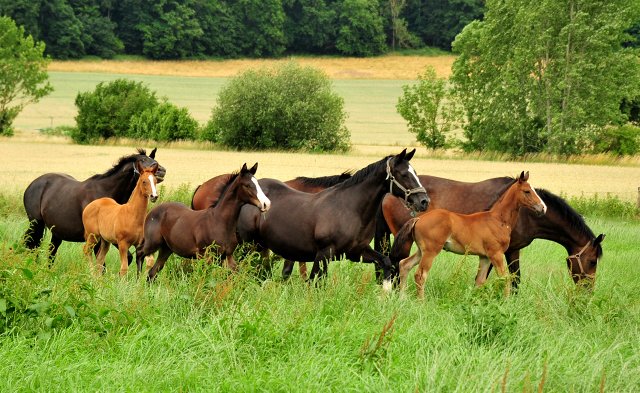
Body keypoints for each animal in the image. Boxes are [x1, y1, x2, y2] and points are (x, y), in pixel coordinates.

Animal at [23, 149, 165, 262]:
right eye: (142, 160)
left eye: (154, 159)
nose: (161, 170)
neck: (105, 193)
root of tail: (33, 184)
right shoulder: (100, 237)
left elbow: (126, 258)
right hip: (36, 224)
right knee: (30, 244)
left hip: (56, 232)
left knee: (50, 251)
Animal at [137, 163, 270, 282]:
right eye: (247, 185)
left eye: (258, 184)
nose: (266, 204)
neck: (220, 222)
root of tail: (152, 211)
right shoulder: (207, 256)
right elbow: (206, 279)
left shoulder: (227, 256)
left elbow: (239, 275)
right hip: (153, 242)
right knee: (139, 253)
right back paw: (137, 280)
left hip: (166, 249)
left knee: (152, 273)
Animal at [235, 149, 430, 284]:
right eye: (404, 174)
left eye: (415, 173)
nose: (424, 201)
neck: (349, 208)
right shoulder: (323, 253)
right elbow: (314, 282)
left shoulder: (356, 252)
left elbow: (386, 261)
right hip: (246, 246)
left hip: (260, 246)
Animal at [378, 175, 608, 288]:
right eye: (592, 261)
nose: (587, 291)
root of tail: (388, 193)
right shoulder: (500, 252)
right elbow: (507, 279)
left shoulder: (508, 251)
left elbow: (506, 279)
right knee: (399, 267)